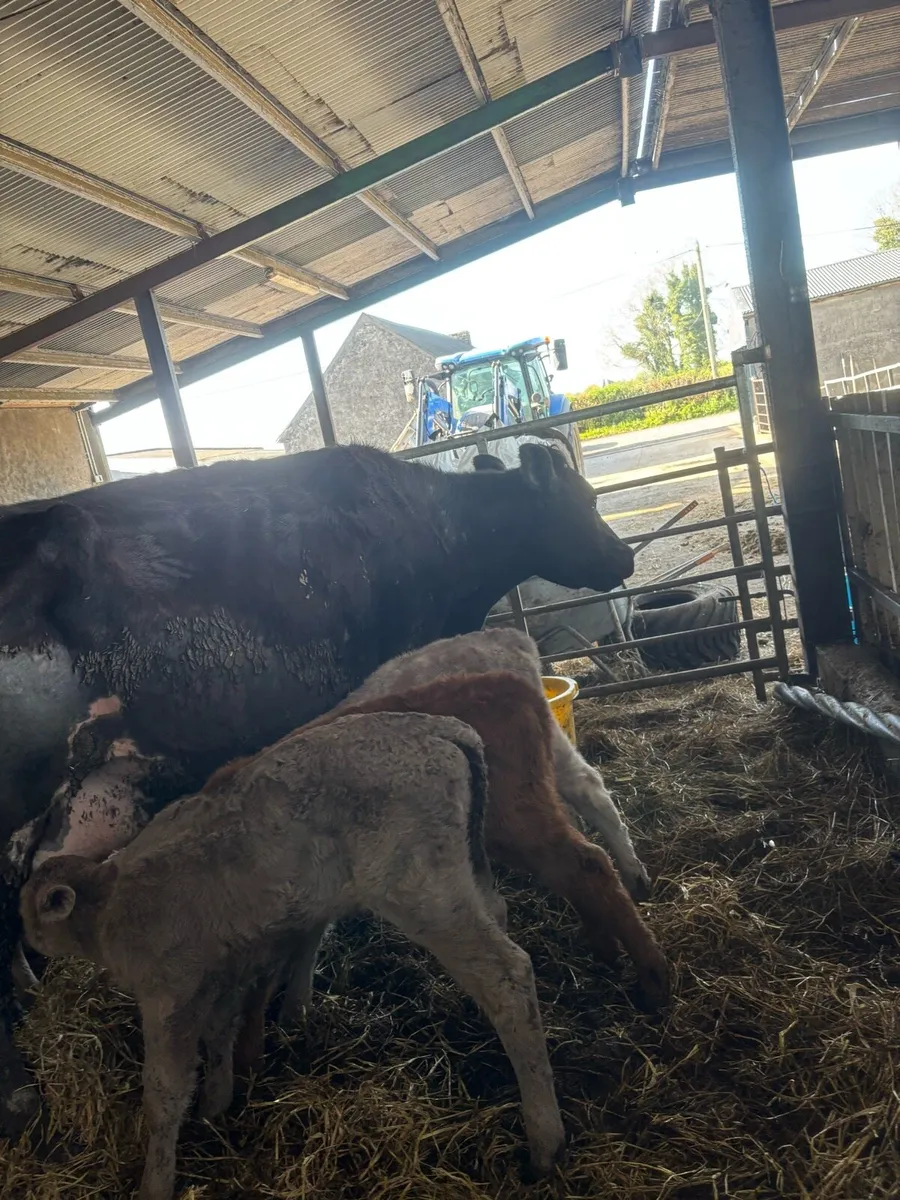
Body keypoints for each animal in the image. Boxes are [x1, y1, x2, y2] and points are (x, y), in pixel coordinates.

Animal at [20, 712, 564, 1200]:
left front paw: (156, 1180)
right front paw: (217, 1105)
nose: (26, 939)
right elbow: (221, 1035)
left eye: (30, 909)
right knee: (499, 916)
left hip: (422, 892)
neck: (110, 903)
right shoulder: (220, 973)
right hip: (464, 874)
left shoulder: (169, 993)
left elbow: (164, 1091)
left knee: (507, 975)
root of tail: (440, 727)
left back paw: (545, 1144)